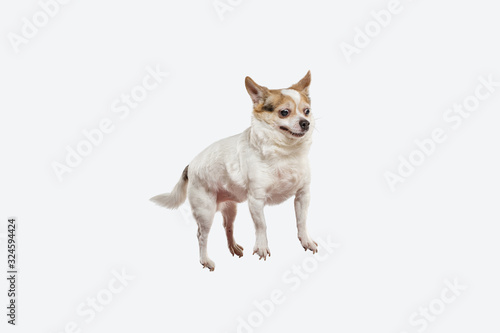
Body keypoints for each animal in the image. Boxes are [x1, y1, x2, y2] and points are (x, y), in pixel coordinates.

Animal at [150, 70, 318, 270]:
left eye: (307, 111)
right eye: (284, 112)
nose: (305, 123)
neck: (285, 153)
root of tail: (190, 166)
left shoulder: (303, 195)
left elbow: (301, 220)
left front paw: (305, 240)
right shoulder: (256, 200)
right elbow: (261, 225)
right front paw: (262, 247)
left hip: (230, 208)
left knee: (227, 227)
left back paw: (233, 247)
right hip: (205, 211)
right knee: (201, 236)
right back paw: (205, 260)